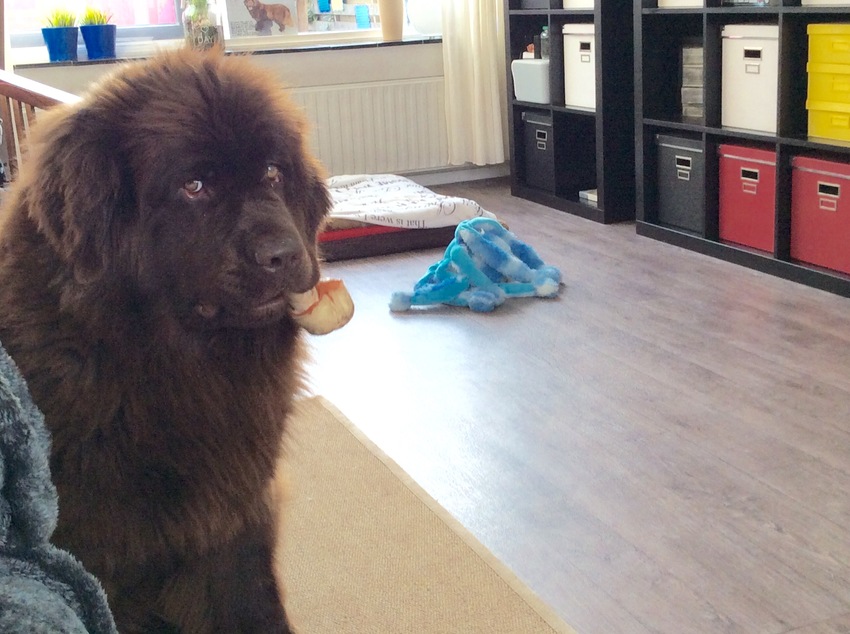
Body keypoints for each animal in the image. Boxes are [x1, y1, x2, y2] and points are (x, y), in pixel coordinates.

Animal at [0, 48, 330, 633]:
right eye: (194, 186)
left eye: (273, 172)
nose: (286, 253)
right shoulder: (102, 550)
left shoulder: (237, 518)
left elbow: (256, 602)